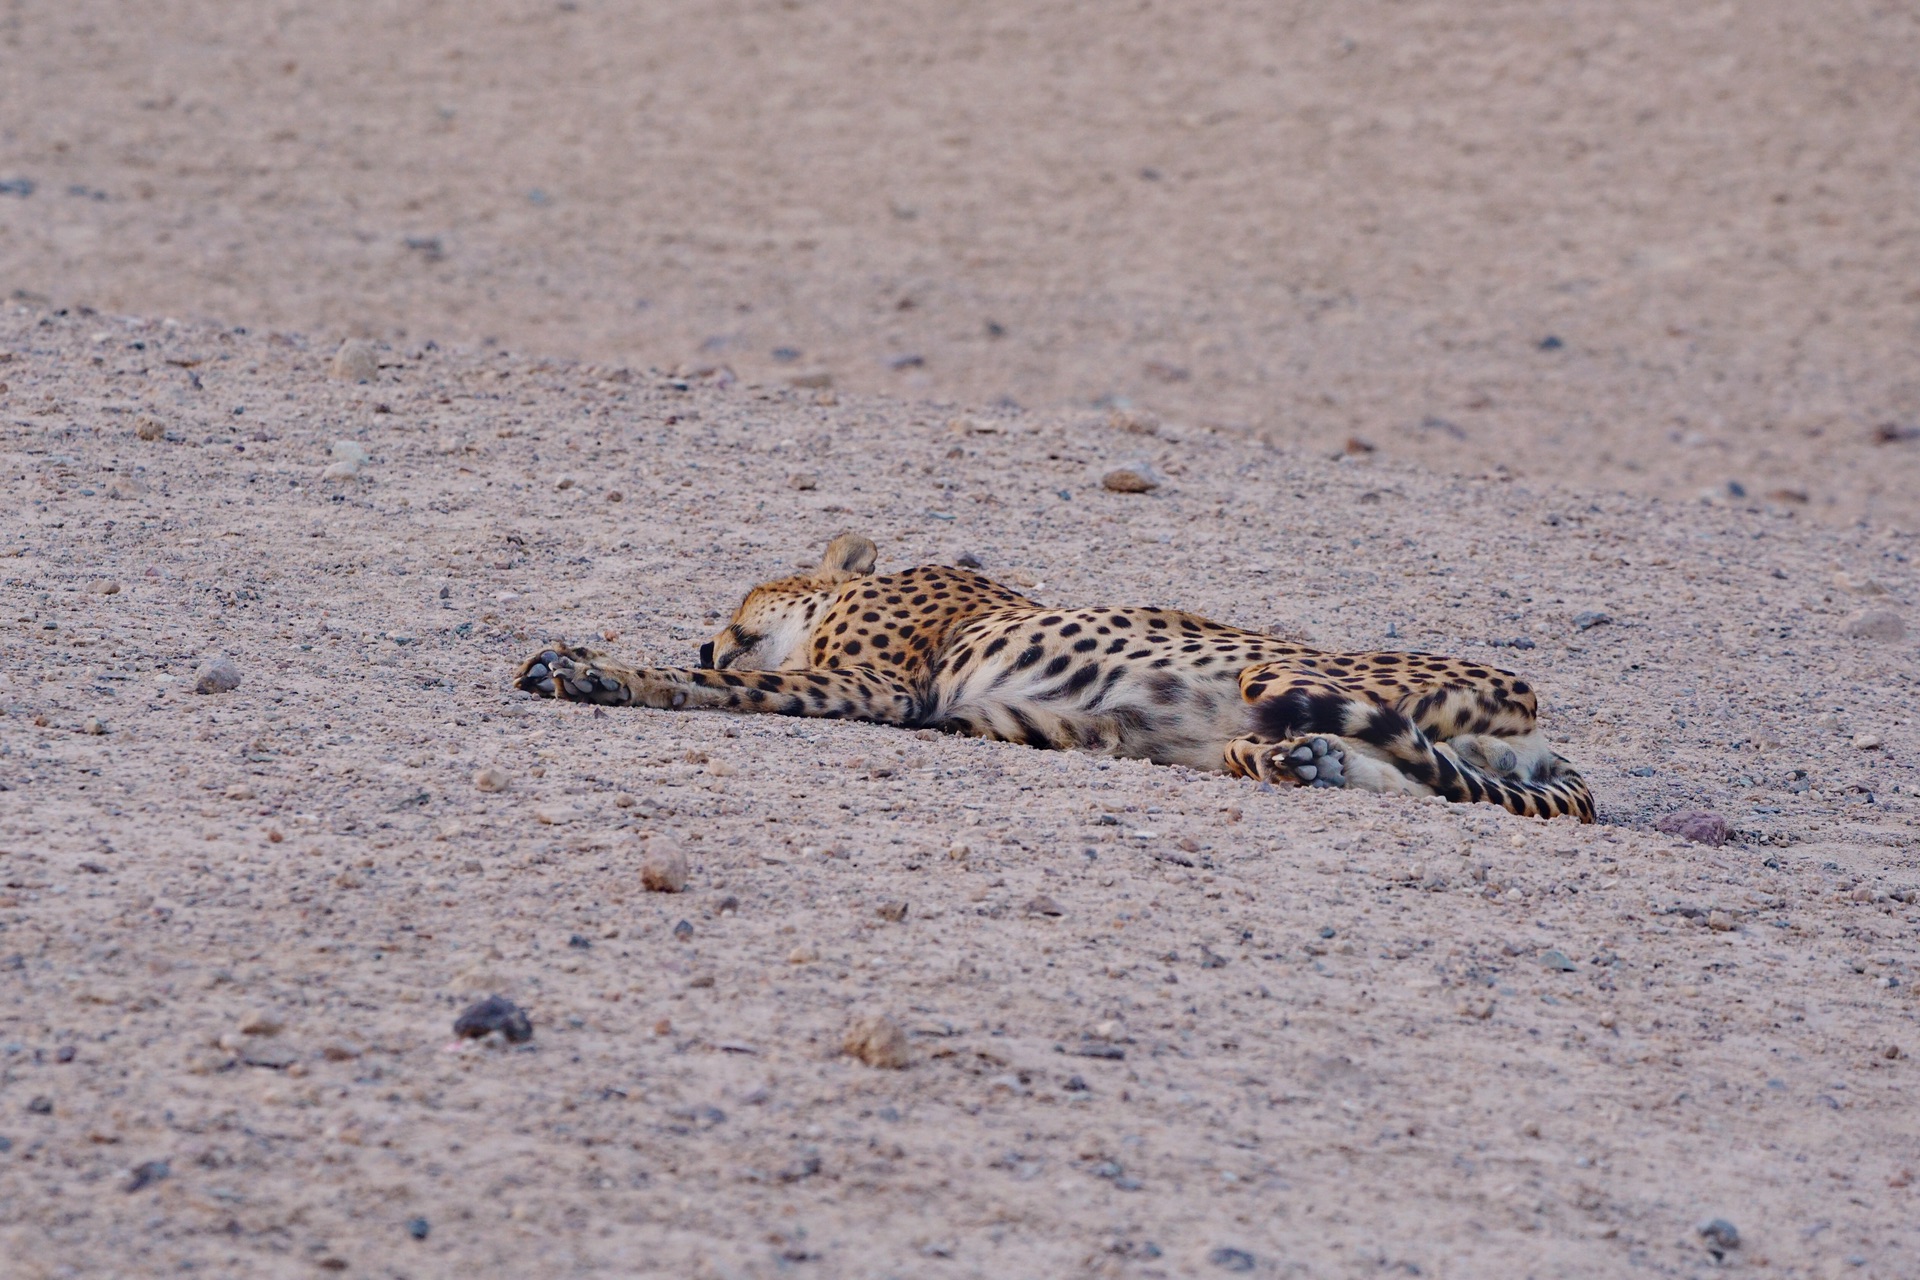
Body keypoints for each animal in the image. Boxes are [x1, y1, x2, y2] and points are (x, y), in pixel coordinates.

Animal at [518, 529, 1597, 821]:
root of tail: (1542, 723)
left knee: (1417, 755)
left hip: (1276, 667)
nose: (713, 635)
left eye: (744, 591)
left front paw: (595, 669)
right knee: (1428, 777)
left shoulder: (881, 690)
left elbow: (720, 690)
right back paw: (1307, 763)